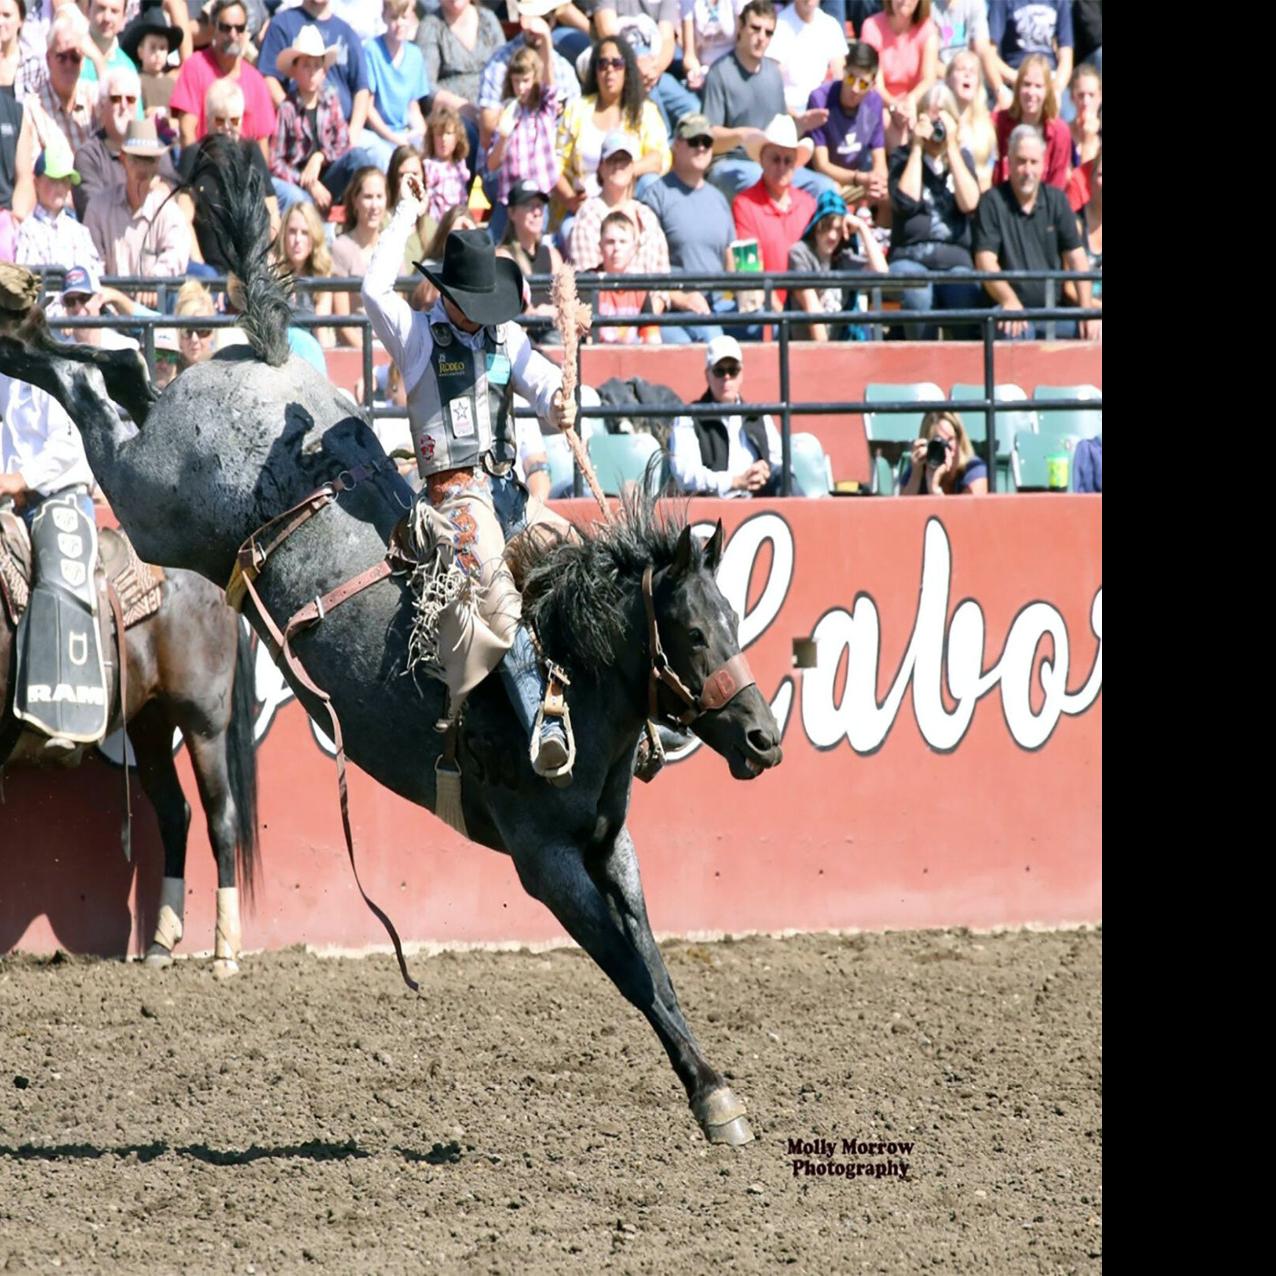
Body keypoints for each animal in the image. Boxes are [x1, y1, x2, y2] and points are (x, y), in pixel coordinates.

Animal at [0, 546, 259, 974]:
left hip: (203, 724)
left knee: (221, 818)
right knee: (175, 814)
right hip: (150, 724)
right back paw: (160, 944)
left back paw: (225, 952)